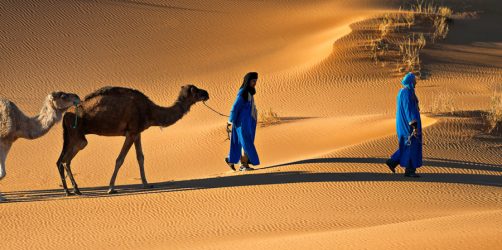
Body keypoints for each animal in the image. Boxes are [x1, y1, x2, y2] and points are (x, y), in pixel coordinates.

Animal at [56, 84, 208, 195]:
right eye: (195, 90)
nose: (206, 93)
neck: (150, 111)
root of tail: (66, 114)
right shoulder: (131, 132)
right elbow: (120, 159)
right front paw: (111, 188)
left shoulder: (137, 133)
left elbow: (140, 157)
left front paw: (146, 184)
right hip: (77, 135)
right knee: (64, 160)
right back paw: (72, 190)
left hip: (73, 136)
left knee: (62, 161)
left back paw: (72, 190)